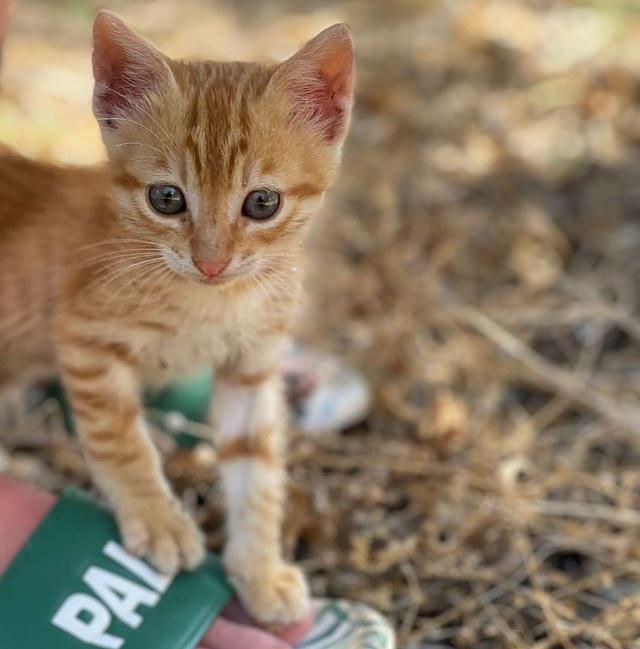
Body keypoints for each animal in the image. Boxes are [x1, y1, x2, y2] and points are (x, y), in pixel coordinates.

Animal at [0, 11, 356, 624]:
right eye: (166, 198)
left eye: (263, 203)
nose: (211, 262)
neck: (213, 302)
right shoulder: (83, 338)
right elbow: (119, 437)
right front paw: (158, 517)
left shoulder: (252, 366)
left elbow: (256, 468)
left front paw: (259, 569)